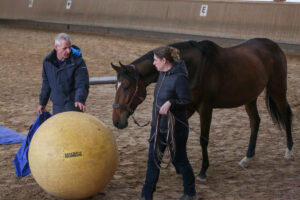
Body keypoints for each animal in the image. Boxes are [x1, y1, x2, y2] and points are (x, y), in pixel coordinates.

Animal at [110, 38, 292, 180]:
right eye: (115, 85)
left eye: (126, 86)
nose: (117, 121)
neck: (192, 67)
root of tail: (273, 46)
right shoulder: (185, 107)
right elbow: (172, 134)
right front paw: (177, 166)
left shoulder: (205, 108)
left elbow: (203, 139)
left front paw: (203, 170)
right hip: (250, 97)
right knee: (255, 122)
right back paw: (247, 158)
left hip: (277, 89)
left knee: (285, 115)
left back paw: (289, 151)